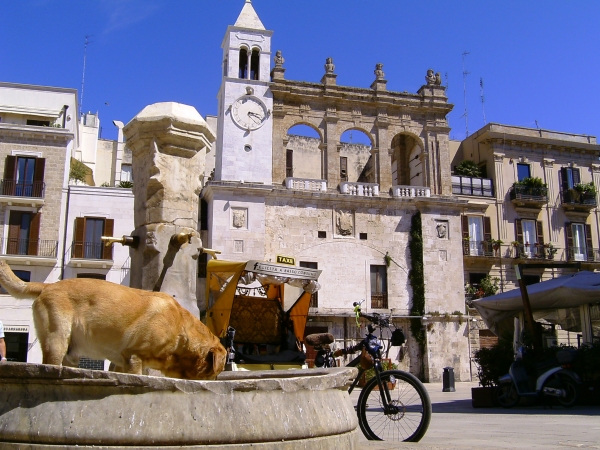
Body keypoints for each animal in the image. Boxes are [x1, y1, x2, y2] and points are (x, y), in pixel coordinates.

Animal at [0, 260, 225, 380]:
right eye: (216, 372)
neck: (180, 330)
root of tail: (47, 286)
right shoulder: (135, 358)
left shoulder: (122, 362)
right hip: (57, 341)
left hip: (71, 354)